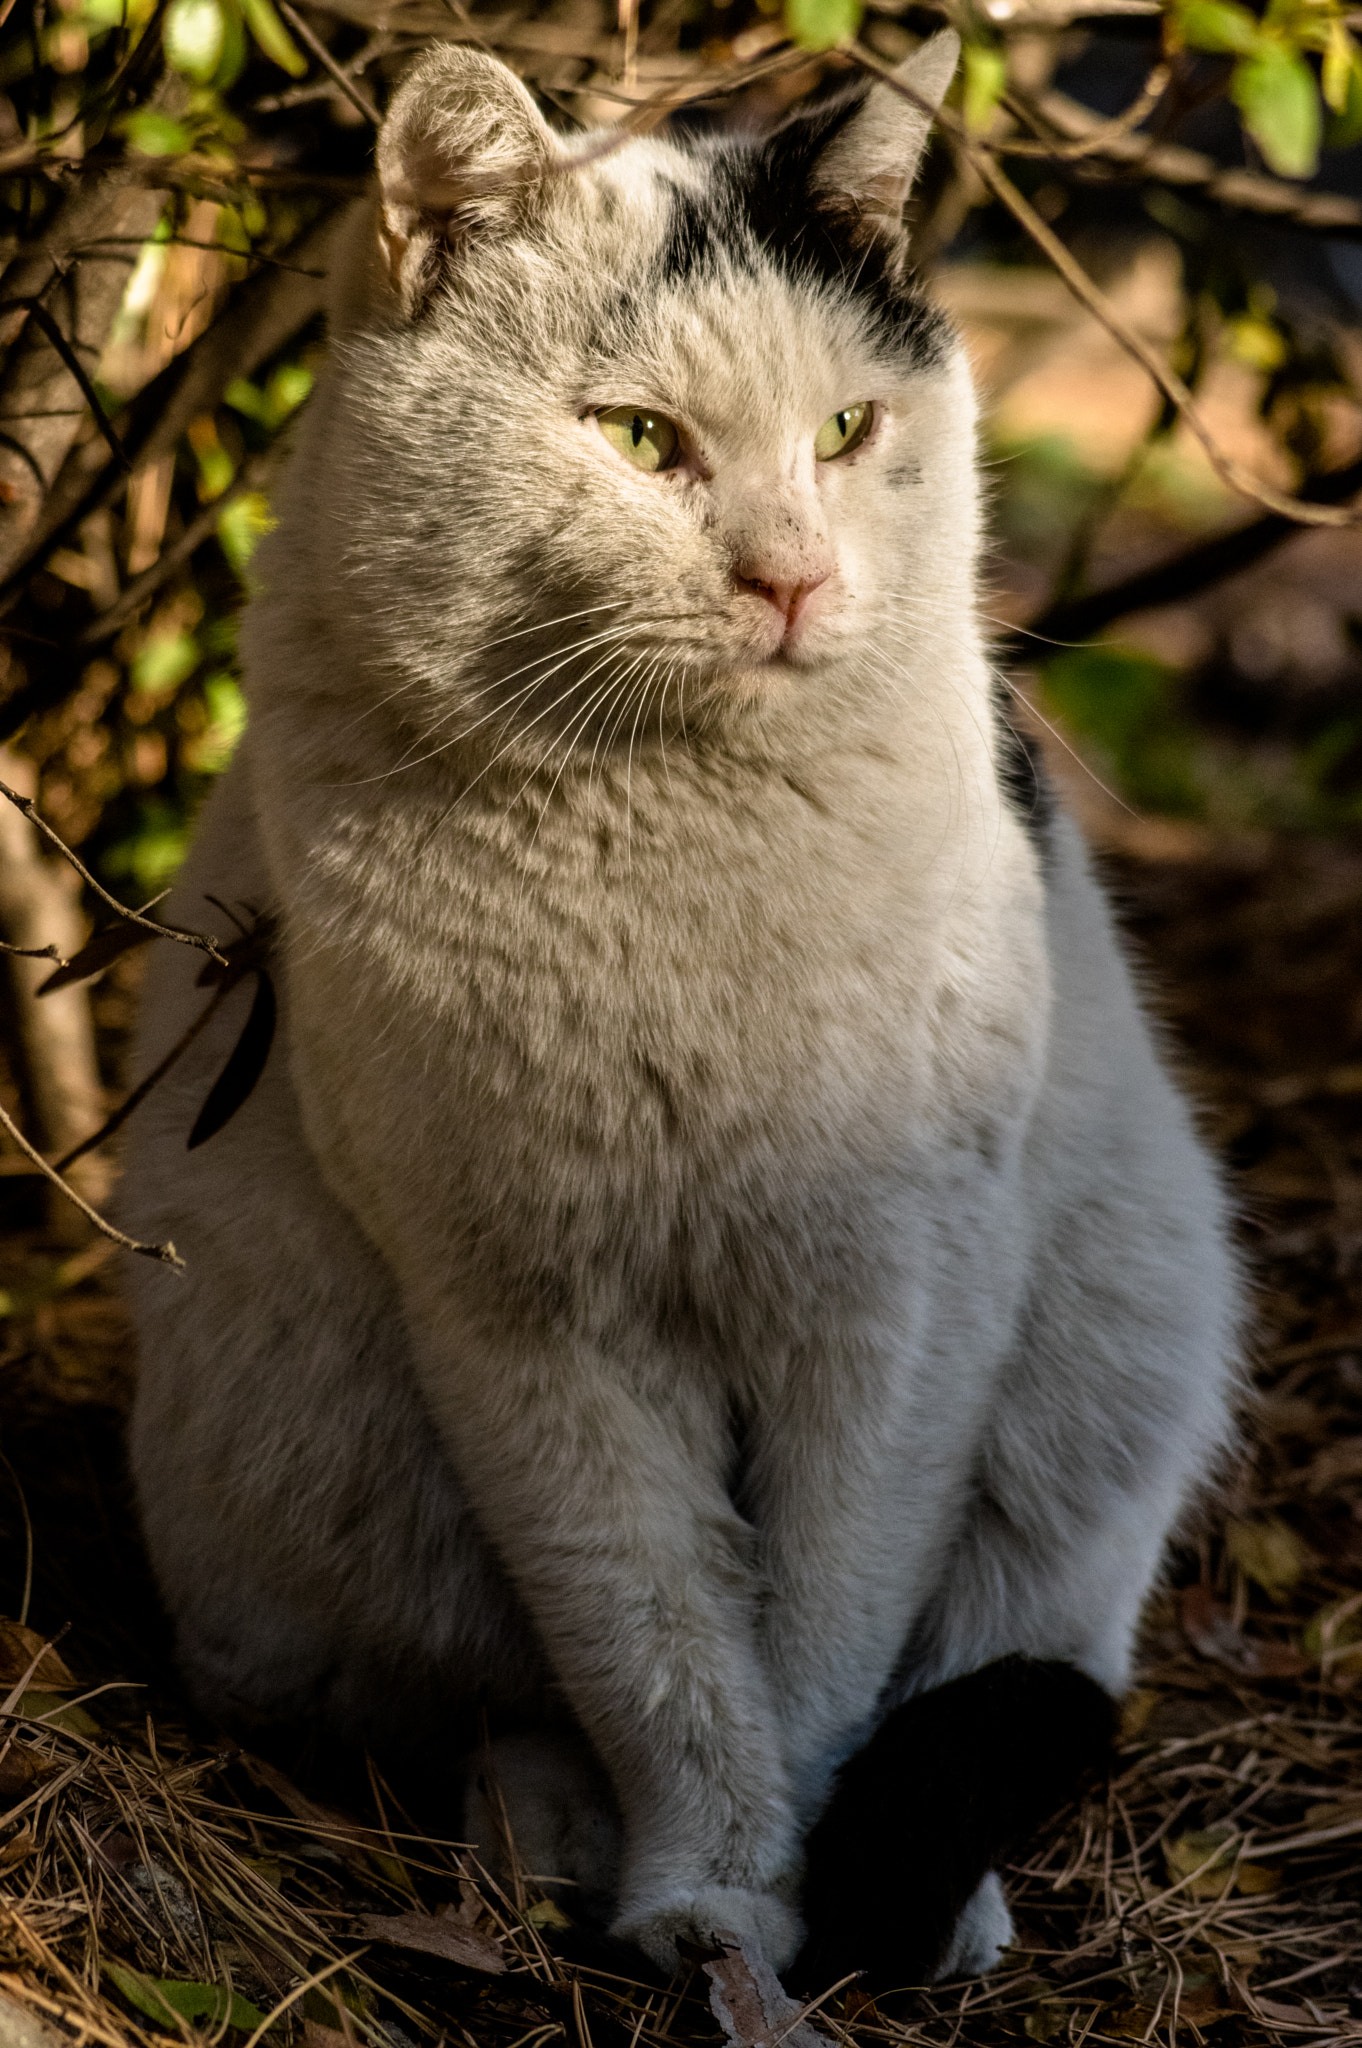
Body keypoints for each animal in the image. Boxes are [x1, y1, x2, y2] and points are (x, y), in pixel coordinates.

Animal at [122, 32, 1237, 1982]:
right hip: (284, 1435)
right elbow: (645, 1634)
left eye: (849, 432)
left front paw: (794, 1915)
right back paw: (544, 1839)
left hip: (1128, 1314)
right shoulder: (521, 1316)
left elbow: (828, 1629)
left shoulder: (899, 1292)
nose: (791, 577)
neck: (676, 827)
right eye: (640, 439)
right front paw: (711, 1897)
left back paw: (946, 1906)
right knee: (483, 1697)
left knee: (1013, 1642)